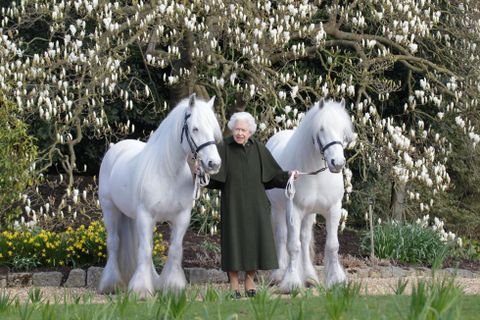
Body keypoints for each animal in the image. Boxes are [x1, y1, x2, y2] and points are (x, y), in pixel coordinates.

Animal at [99, 94, 223, 298]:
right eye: (195, 128)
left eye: (213, 130)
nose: (214, 163)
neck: (168, 172)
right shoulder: (146, 216)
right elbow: (145, 251)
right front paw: (141, 290)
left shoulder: (181, 217)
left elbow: (174, 250)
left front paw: (172, 286)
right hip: (110, 210)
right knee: (114, 243)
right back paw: (111, 284)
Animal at [268, 98, 354, 292]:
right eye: (321, 129)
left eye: (343, 130)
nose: (337, 163)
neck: (316, 175)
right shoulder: (293, 211)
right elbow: (293, 246)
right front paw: (291, 282)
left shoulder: (333, 209)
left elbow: (332, 245)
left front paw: (337, 280)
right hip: (278, 209)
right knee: (281, 237)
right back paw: (279, 274)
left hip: (309, 214)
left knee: (305, 238)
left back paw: (309, 277)